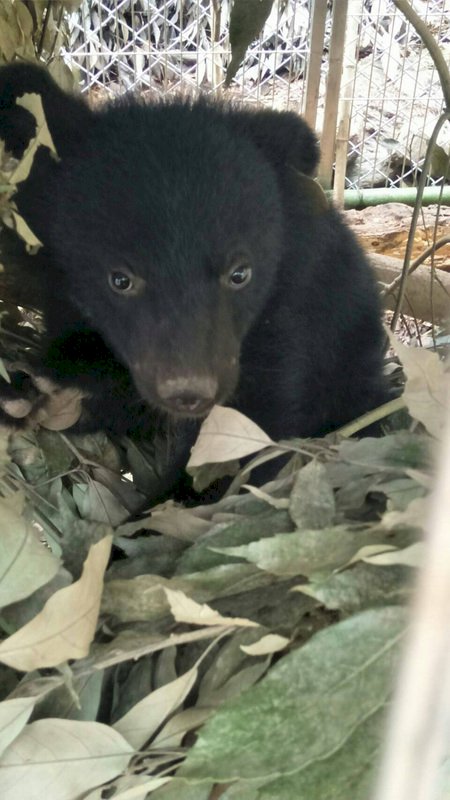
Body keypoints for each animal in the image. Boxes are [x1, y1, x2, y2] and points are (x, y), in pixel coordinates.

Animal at [0, 63, 389, 498]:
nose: (189, 393)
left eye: (240, 274)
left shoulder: (289, 313)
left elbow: (255, 426)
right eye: (119, 279)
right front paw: (29, 386)